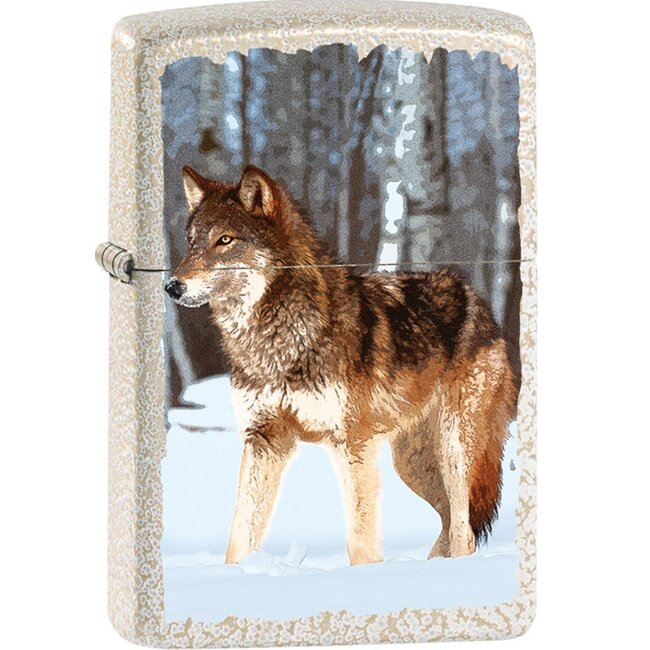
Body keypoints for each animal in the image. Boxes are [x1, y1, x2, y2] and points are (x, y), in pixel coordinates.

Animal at [165, 165, 517, 565]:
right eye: (192, 241)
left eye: (224, 240)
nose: (172, 286)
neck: (280, 340)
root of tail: (478, 299)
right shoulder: (264, 440)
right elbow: (239, 534)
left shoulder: (351, 443)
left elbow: (360, 540)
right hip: (411, 464)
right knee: (450, 522)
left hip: (455, 451)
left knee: (463, 529)